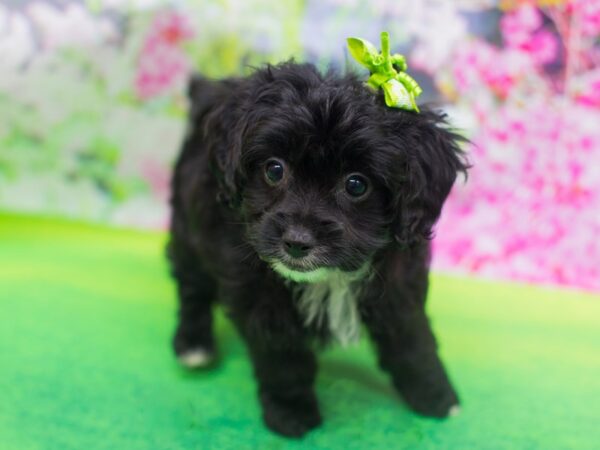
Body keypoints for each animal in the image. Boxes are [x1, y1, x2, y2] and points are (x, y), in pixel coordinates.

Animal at [168, 61, 468, 438]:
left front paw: (436, 396)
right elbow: (282, 354)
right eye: (274, 169)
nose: (297, 241)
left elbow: (413, 340)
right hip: (188, 224)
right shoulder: (258, 293)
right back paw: (194, 344)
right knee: (192, 286)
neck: (331, 277)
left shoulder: (400, 286)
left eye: (356, 185)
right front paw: (291, 412)